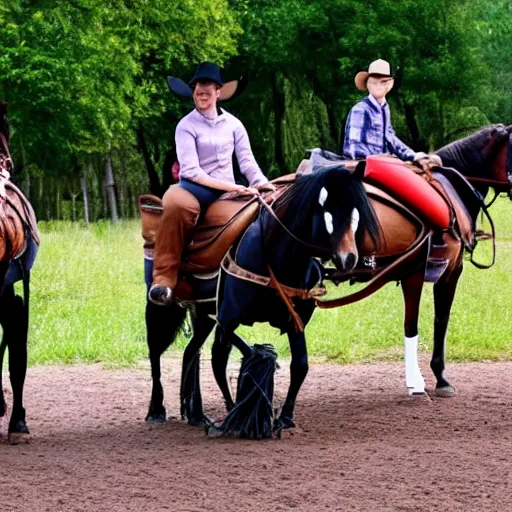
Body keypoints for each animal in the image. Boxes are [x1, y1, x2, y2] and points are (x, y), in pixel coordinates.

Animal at [144, 165, 380, 436]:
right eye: (323, 205)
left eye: (356, 207)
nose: (348, 257)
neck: (276, 258)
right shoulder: (228, 318)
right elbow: (220, 360)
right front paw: (235, 415)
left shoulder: (295, 322)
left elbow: (300, 365)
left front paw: (284, 418)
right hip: (162, 307)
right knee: (156, 351)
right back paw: (156, 410)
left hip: (202, 314)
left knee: (190, 352)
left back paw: (196, 414)